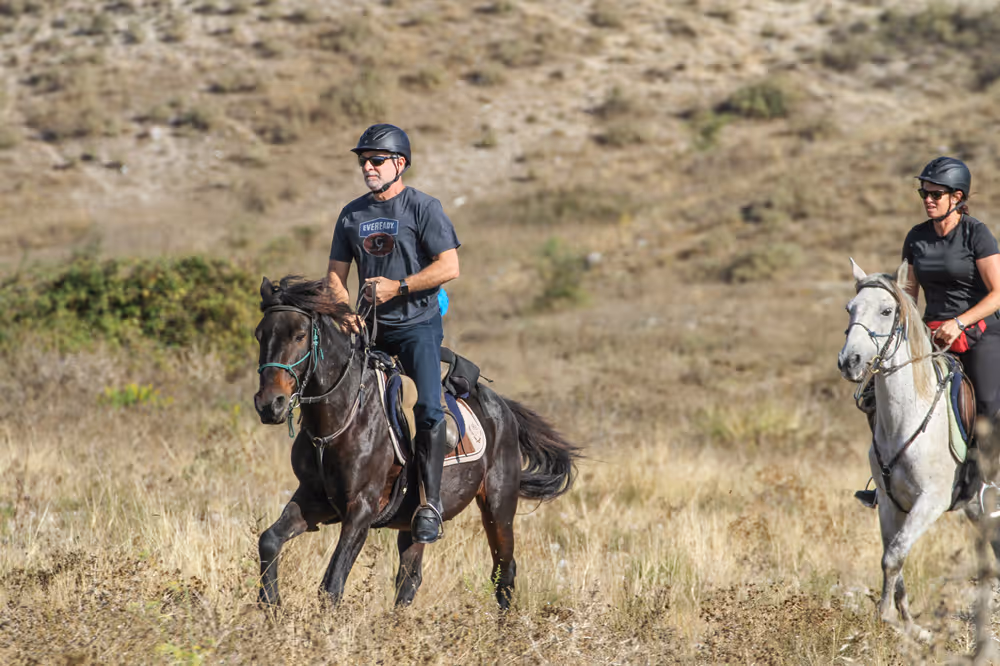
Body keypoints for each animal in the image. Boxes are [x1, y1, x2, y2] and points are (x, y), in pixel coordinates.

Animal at [252, 276, 581, 610]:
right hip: (412, 526)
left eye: (299, 335)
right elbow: (269, 540)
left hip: (498, 505)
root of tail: (502, 407)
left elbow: (332, 585)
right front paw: (271, 605)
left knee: (504, 572)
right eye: (259, 335)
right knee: (409, 580)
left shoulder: (361, 509)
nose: (269, 404)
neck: (340, 417)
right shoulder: (314, 498)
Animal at [838, 259, 1000, 636]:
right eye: (850, 309)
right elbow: (892, 557)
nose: (850, 361)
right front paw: (909, 623)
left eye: (886, 311)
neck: (906, 418)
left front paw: (886, 617)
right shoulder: (888, 503)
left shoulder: (931, 501)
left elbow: (894, 555)